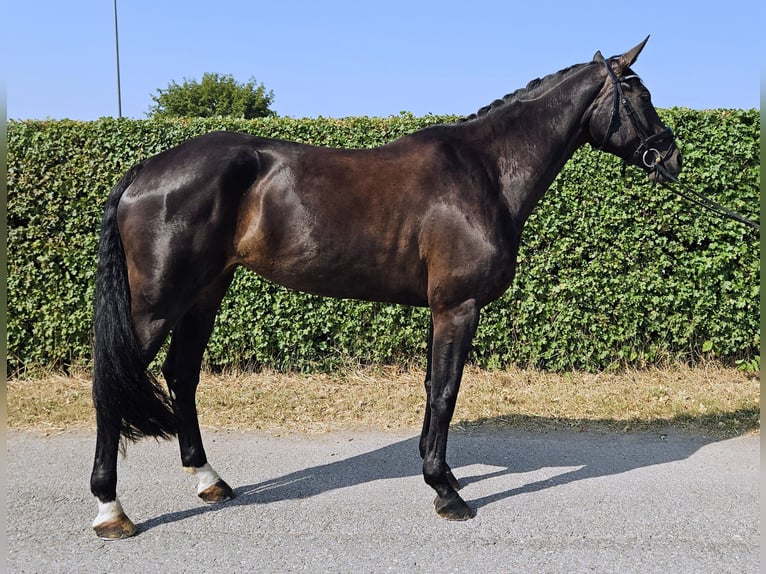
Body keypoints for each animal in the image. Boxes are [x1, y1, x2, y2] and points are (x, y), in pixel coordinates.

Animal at [90, 37, 681, 539]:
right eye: (642, 95)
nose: (671, 158)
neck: (485, 172)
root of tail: (145, 171)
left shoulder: (441, 310)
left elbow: (432, 387)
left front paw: (444, 475)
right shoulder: (457, 307)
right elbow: (445, 392)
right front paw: (445, 492)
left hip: (203, 292)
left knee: (181, 375)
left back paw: (209, 480)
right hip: (156, 304)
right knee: (110, 384)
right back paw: (111, 509)